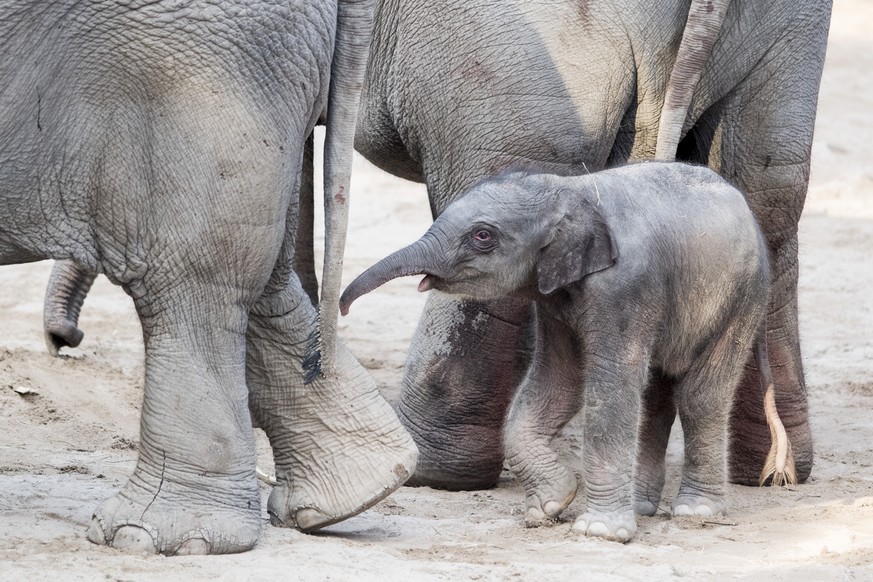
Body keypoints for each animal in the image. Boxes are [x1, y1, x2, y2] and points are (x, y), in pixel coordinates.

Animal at [1, 0, 416, 556]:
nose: (64, 339)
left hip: (196, 65)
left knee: (194, 277)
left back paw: (150, 536)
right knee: (265, 278)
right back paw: (354, 493)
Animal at [340, 163, 792, 544]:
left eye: (483, 236)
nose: (342, 308)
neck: (570, 189)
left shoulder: (625, 287)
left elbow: (608, 385)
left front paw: (600, 532)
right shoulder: (554, 298)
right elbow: (561, 380)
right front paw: (549, 507)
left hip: (742, 297)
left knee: (700, 395)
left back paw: (695, 511)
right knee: (655, 396)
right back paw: (642, 507)